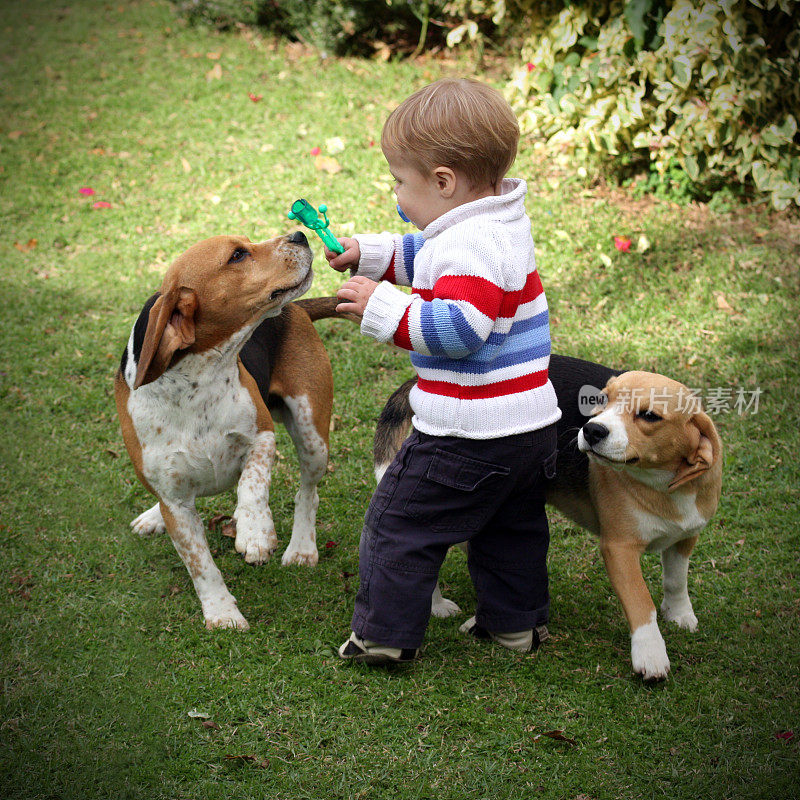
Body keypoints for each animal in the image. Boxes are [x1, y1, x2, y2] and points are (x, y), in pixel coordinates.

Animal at [115, 231, 334, 632]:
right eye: (237, 256)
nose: (299, 234)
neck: (197, 380)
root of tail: (296, 310)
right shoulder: (176, 505)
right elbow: (200, 564)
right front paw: (221, 613)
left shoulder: (262, 436)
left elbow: (252, 484)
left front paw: (256, 532)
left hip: (313, 439)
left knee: (307, 494)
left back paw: (301, 548)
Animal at [372, 354, 720, 680]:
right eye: (601, 400)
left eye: (649, 416)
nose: (592, 430)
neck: (662, 487)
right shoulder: (619, 548)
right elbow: (640, 601)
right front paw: (651, 655)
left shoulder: (686, 537)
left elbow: (676, 579)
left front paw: (679, 613)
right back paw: (436, 607)